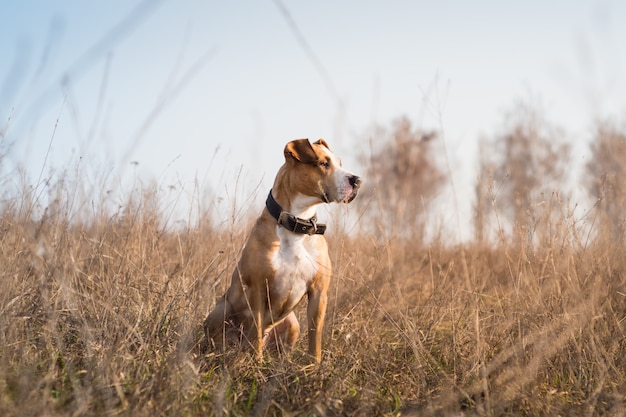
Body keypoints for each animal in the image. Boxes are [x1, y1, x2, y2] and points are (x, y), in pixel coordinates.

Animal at [205, 137, 360, 360]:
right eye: (324, 163)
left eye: (340, 163)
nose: (357, 180)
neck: (297, 223)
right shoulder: (258, 289)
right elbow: (256, 333)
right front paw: (256, 363)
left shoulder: (319, 293)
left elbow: (315, 336)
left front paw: (314, 365)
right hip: (221, 310)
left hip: (292, 324)